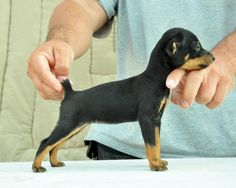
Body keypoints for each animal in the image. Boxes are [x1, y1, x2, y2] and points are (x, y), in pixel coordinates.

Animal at [31, 27, 214, 173]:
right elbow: (151, 145)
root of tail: (70, 93)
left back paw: (54, 163)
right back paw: (37, 166)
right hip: (68, 124)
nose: (214, 58)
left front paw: (158, 161)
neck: (154, 79)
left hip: (74, 127)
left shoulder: (156, 121)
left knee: (54, 145)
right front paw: (155, 165)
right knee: (46, 142)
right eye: (197, 46)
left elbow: (157, 143)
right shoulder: (146, 120)